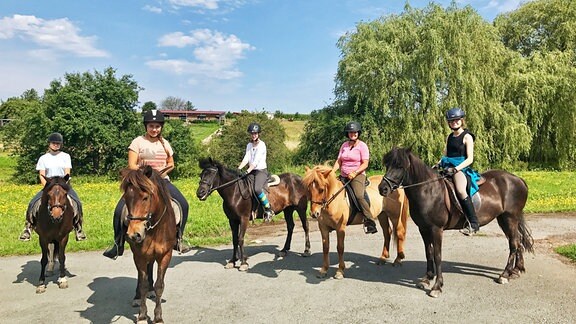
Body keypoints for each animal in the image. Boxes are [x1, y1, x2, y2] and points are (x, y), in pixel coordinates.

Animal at [121, 167, 176, 324]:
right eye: (126, 198)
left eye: (145, 197)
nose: (134, 234)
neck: (155, 230)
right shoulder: (139, 256)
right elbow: (143, 285)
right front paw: (142, 316)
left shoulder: (165, 256)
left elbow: (159, 285)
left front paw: (158, 317)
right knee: (141, 277)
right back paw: (137, 298)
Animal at [378, 148, 536, 298]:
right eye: (387, 165)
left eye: (400, 166)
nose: (382, 189)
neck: (428, 190)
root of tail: (519, 180)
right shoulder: (423, 229)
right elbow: (428, 253)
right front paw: (426, 279)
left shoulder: (436, 229)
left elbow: (437, 255)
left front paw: (437, 287)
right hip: (504, 219)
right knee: (518, 241)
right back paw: (516, 271)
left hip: (510, 218)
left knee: (514, 243)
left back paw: (505, 275)